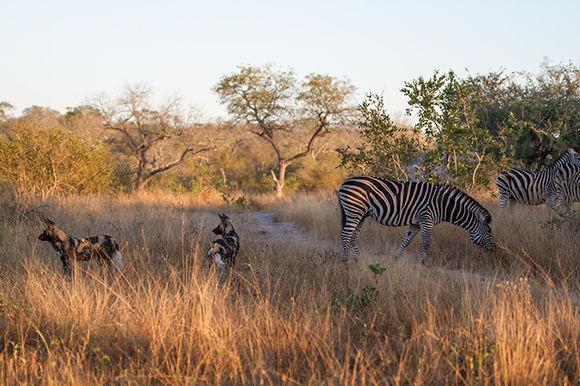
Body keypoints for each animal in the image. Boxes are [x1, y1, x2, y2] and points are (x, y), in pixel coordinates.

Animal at [336, 176, 494, 264]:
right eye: (489, 232)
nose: (494, 250)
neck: (442, 204)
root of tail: (345, 183)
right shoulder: (426, 220)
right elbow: (426, 242)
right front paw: (424, 262)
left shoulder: (416, 224)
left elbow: (406, 241)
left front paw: (395, 258)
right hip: (355, 211)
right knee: (346, 234)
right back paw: (344, 261)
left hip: (361, 214)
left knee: (353, 235)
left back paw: (357, 259)